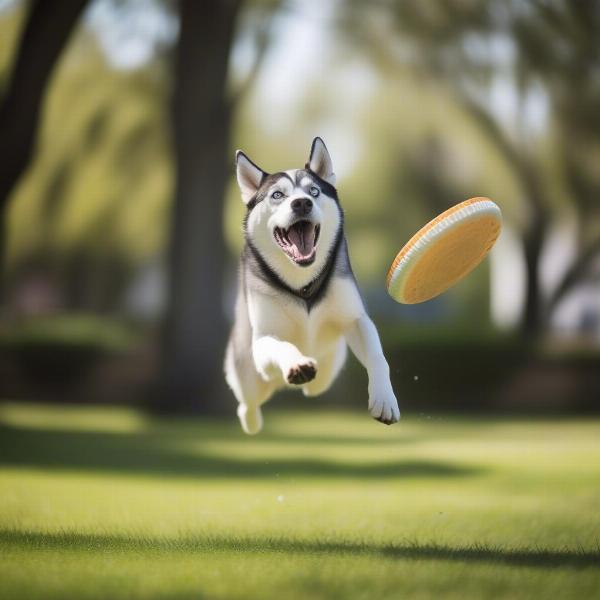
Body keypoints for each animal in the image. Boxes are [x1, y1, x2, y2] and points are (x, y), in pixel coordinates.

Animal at [223, 138, 400, 434]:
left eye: (314, 191)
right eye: (277, 195)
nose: (302, 203)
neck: (302, 284)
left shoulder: (355, 318)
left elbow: (378, 356)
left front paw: (384, 398)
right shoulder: (263, 340)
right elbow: (281, 346)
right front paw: (296, 363)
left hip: (331, 364)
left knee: (317, 384)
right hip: (248, 371)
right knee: (247, 403)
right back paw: (252, 421)